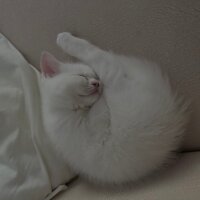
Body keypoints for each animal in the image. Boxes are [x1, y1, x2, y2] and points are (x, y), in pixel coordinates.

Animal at [40, 32, 188, 184]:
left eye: (95, 76)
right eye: (82, 76)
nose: (97, 83)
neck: (62, 110)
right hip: (116, 80)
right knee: (99, 56)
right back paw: (65, 38)